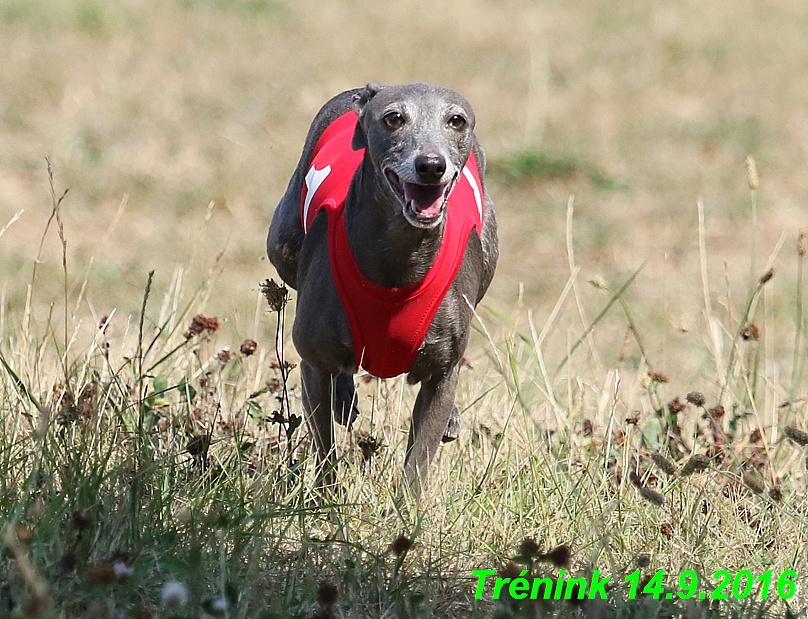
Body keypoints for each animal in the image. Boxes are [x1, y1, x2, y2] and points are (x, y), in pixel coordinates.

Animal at [268, 83, 496, 498]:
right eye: (393, 118)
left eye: (456, 120)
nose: (430, 165)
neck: (397, 265)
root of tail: (364, 89)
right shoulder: (314, 363)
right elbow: (324, 451)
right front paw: (327, 505)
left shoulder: (441, 374)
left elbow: (418, 461)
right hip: (283, 244)